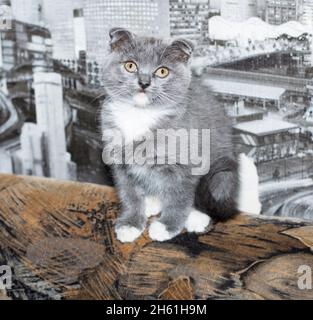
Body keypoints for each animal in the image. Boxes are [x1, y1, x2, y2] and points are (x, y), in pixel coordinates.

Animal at [101, 28, 260, 242]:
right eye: (130, 65)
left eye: (162, 71)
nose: (144, 82)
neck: (140, 115)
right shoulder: (119, 162)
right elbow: (129, 194)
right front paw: (130, 223)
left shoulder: (186, 163)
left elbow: (179, 195)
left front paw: (167, 225)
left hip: (222, 171)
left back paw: (196, 216)